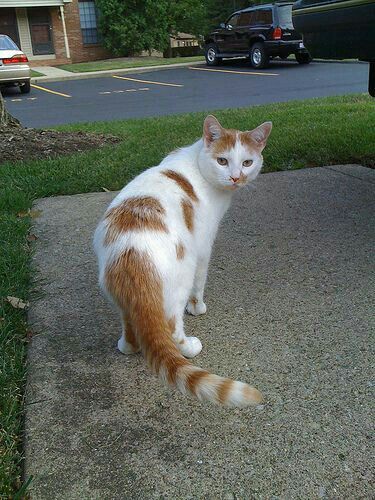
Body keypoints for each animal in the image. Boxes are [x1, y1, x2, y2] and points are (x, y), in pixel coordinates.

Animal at [93, 115, 270, 408]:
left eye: (247, 162)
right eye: (222, 160)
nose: (236, 177)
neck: (197, 160)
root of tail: (133, 252)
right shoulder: (203, 245)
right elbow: (200, 283)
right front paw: (197, 307)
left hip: (119, 296)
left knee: (130, 330)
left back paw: (128, 345)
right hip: (180, 275)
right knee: (173, 330)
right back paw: (189, 347)